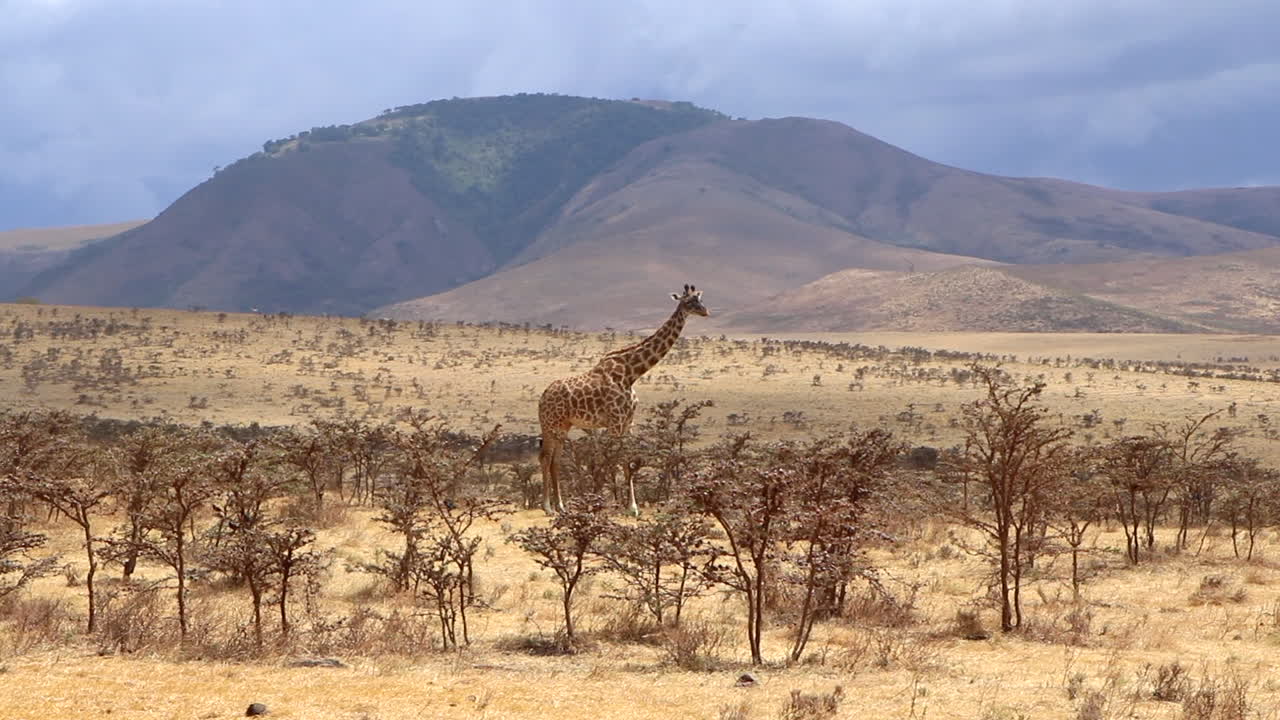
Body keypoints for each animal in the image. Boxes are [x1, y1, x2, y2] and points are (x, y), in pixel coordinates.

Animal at [538, 284, 709, 514]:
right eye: (689, 302)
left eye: (700, 299)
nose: (706, 312)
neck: (631, 372)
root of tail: (542, 397)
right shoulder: (616, 422)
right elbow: (617, 460)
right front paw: (611, 504)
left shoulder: (628, 422)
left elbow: (628, 461)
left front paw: (632, 507)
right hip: (550, 425)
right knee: (546, 457)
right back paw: (548, 507)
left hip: (563, 426)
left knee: (555, 460)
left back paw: (561, 506)